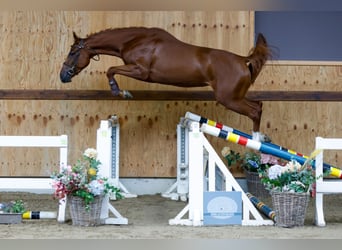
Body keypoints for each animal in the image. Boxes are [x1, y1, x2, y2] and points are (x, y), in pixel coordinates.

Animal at [60, 27, 272, 141]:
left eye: (72, 52)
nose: (63, 76)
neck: (134, 41)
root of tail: (243, 60)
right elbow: (112, 69)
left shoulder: (141, 71)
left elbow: (111, 69)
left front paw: (119, 92)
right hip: (236, 96)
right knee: (259, 105)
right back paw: (260, 139)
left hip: (229, 98)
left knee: (255, 110)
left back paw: (256, 140)